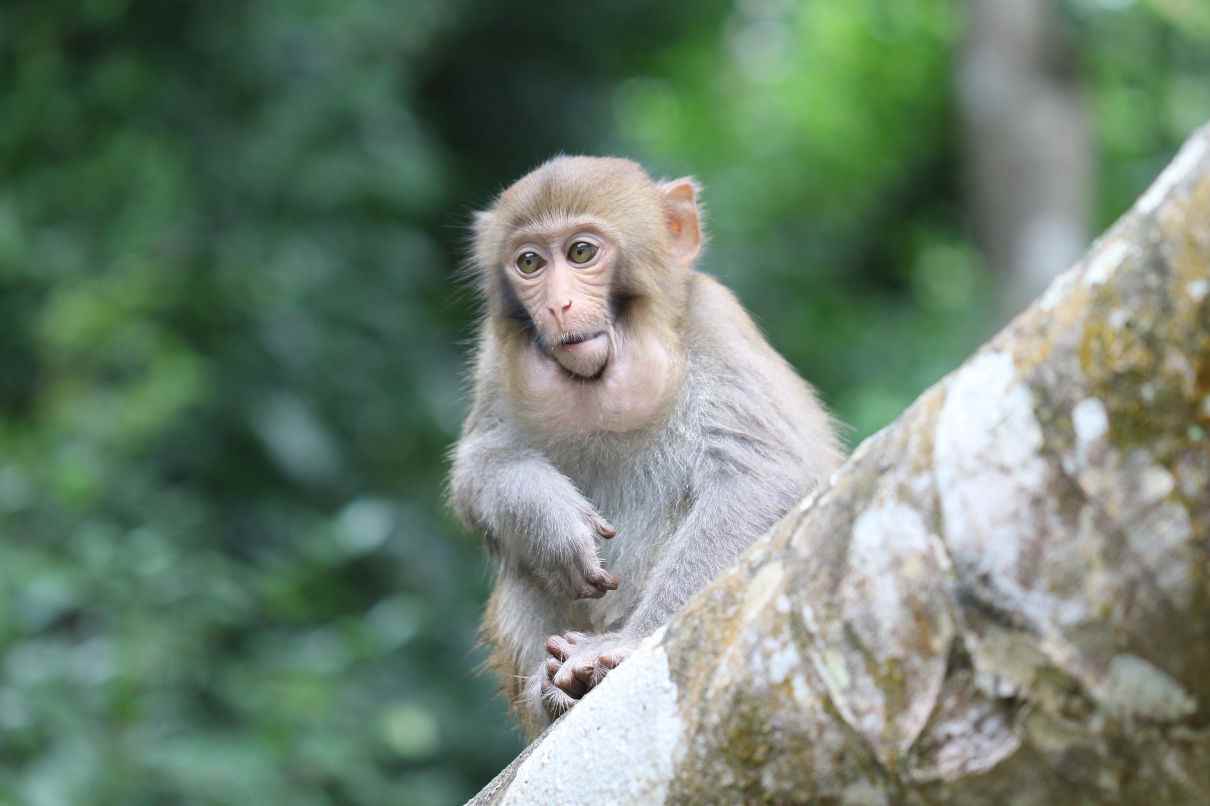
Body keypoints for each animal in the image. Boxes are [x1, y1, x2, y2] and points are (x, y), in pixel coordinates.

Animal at [447, 154, 842, 735]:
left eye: (581, 252)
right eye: (529, 262)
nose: (559, 306)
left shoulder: (715, 321)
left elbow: (762, 476)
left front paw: (629, 643)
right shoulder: (495, 358)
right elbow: (479, 466)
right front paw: (551, 520)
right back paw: (548, 691)